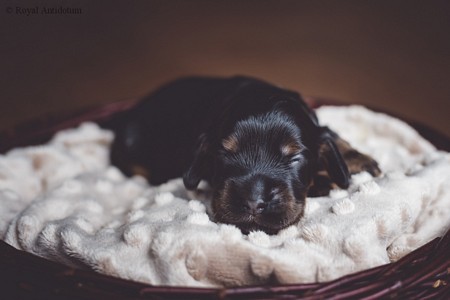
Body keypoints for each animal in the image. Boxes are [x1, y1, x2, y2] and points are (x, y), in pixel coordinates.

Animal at [109, 75, 380, 234]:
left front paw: (359, 160)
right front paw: (325, 181)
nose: (253, 203)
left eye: (294, 158)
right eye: (226, 154)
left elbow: (332, 136)